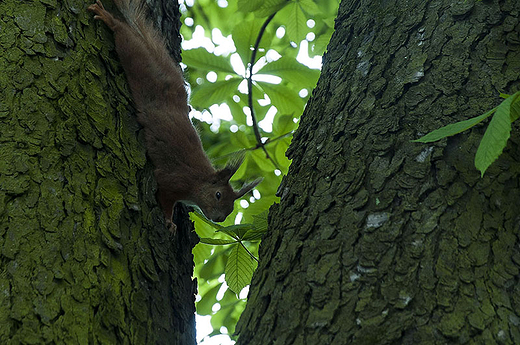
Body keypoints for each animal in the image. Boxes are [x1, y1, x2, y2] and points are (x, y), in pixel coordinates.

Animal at [87, 0, 262, 227]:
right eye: (218, 195)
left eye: (231, 207)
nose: (220, 219)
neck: (198, 182)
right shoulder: (174, 181)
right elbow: (165, 198)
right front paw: (170, 222)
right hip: (136, 60)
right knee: (125, 35)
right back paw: (108, 18)